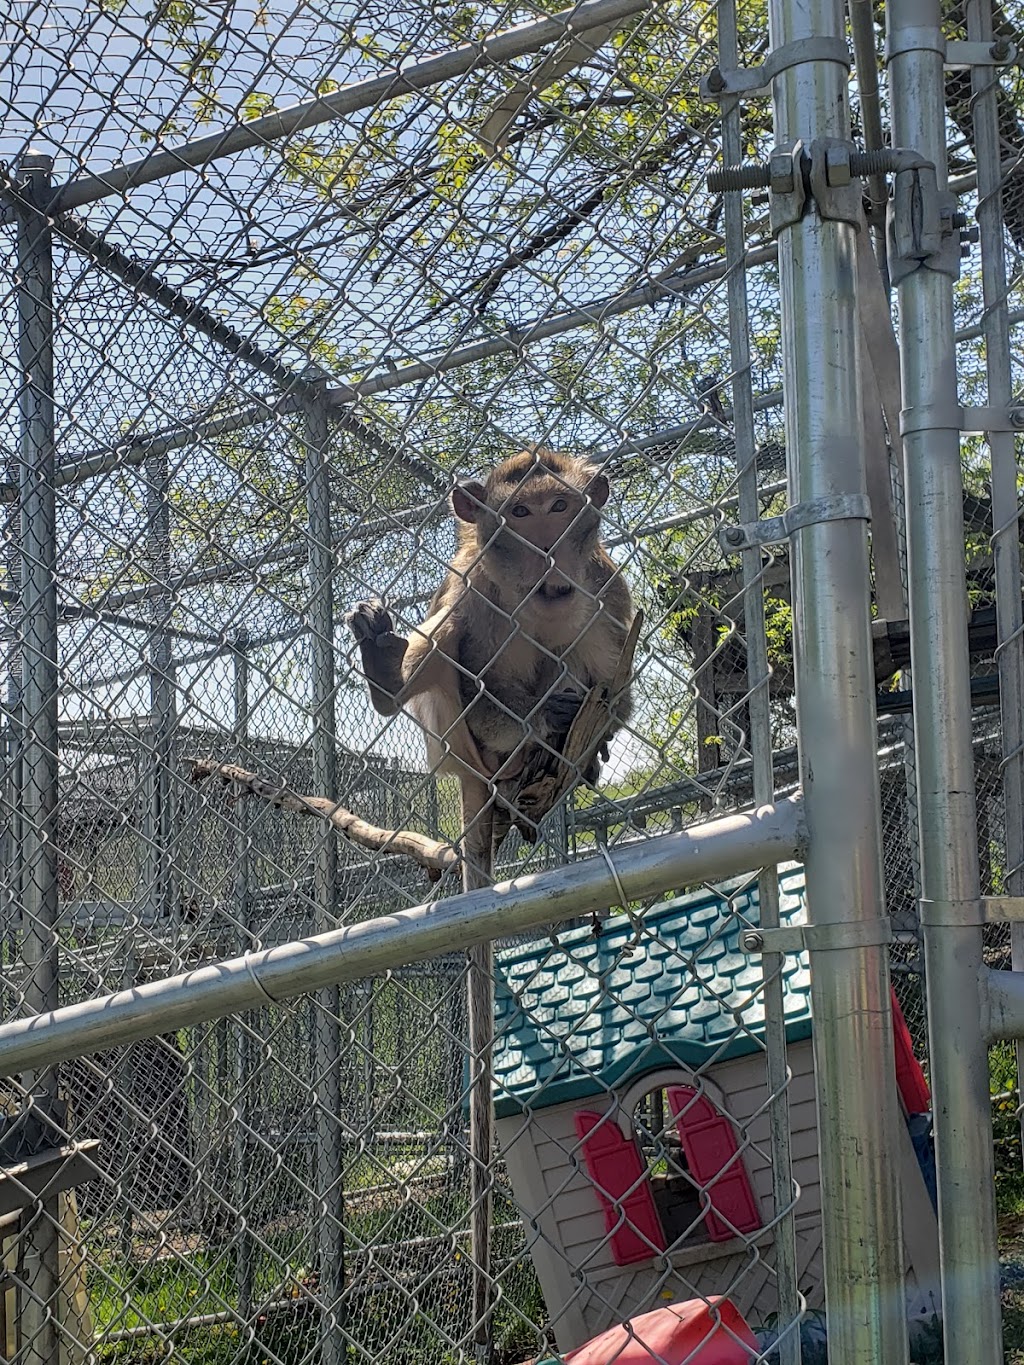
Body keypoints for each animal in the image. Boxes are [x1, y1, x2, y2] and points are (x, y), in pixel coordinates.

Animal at [346, 447, 633, 889]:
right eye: (520, 512)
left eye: (559, 506)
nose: (546, 546)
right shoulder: (475, 590)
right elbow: (477, 691)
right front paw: (547, 714)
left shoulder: (607, 589)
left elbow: (618, 696)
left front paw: (585, 720)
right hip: (456, 743)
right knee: (446, 630)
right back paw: (387, 673)